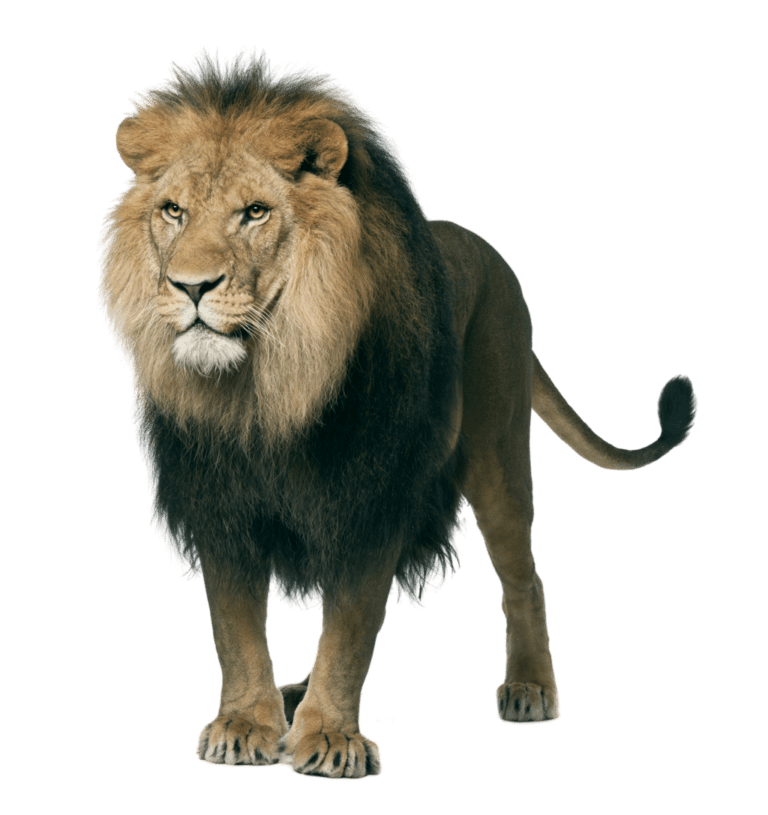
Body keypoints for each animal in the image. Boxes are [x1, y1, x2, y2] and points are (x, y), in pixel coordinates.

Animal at [98, 47, 697, 779]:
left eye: (255, 212)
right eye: (173, 211)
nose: (189, 286)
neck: (266, 390)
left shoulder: (370, 493)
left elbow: (351, 627)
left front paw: (329, 736)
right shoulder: (220, 500)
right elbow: (235, 627)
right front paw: (245, 723)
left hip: (498, 454)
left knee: (524, 575)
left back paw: (529, 686)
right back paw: (292, 692)